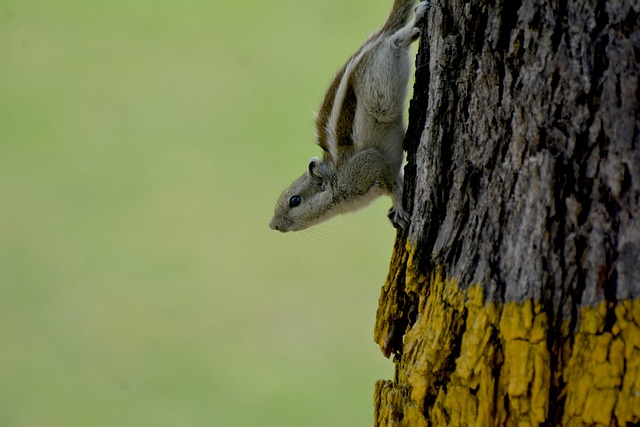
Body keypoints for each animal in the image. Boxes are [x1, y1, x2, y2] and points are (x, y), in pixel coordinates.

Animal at [268, 0, 428, 234]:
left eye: (295, 200)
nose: (273, 225)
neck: (336, 176)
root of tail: (372, 41)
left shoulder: (369, 165)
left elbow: (393, 187)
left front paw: (398, 207)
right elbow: (397, 180)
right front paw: (392, 211)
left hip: (380, 84)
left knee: (394, 40)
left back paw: (414, 22)